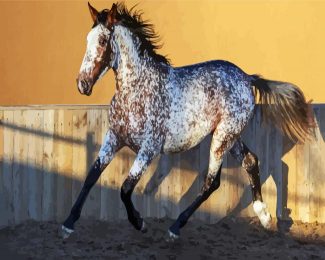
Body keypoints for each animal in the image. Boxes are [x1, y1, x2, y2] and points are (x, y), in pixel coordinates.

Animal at [60, 2, 312, 242]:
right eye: (87, 40)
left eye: (103, 41)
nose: (82, 84)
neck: (137, 90)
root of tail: (246, 78)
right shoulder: (114, 137)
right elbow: (91, 176)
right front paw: (68, 224)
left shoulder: (149, 149)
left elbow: (125, 188)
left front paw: (140, 223)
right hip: (230, 137)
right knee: (250, 161)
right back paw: (265, 218)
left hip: (222, 137)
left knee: (211, 182)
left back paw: (174, 229)